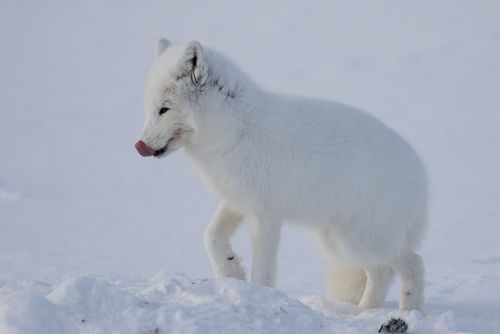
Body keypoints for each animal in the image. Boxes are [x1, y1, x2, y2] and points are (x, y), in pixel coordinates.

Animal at [135, 39, 428, 310]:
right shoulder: (235, 201)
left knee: (413, 264)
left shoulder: (265, 216)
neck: (232, 130)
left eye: (164, 109)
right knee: (380, 273)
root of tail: (422, 175)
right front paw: (231, 270)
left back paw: (407, 312)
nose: (139, 145)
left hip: (360, 241)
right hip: (341, 244)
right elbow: (211, 236)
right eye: (149, 109)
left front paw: (260, 297)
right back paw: (361, 313)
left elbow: (262, 270)